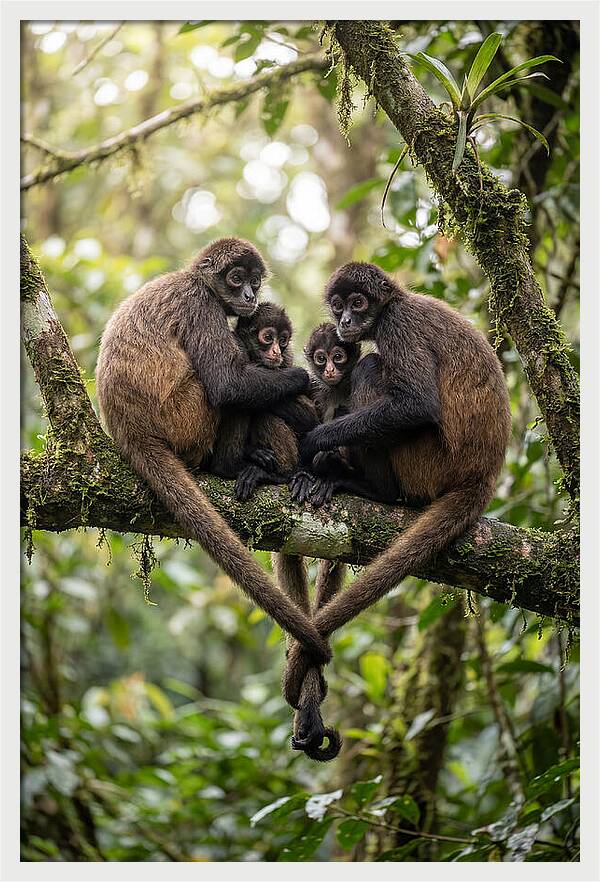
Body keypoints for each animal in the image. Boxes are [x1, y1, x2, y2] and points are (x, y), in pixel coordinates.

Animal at [95, 238, 331, 666]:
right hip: (186, 418)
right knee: (226, 387)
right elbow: (227, 384)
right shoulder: (200, 304)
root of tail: (129, 430)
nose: (250, 295)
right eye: (236, 278)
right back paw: (231, 465)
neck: (194, 279)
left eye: (255, 280)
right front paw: (302, 377)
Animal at [284, 261, 511, 712]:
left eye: (358, 303)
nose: (346, 321)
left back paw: (370, 488)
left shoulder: (397, 325)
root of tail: (483, 474)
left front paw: (316, 444)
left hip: (427, 462)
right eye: (338, 306)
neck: (397, 301)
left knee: (373, 367)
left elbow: (417, 404)